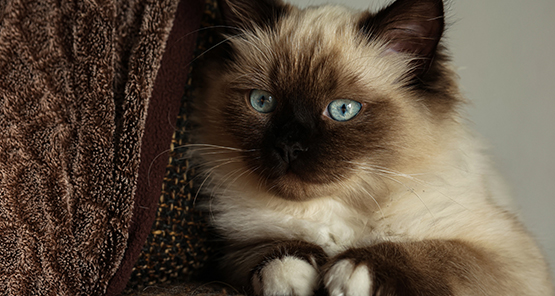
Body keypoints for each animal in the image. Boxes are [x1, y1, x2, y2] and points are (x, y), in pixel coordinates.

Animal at [189, 0, 552, 294]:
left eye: (343, 110)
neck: (339, 207)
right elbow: (267, 249)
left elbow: (437, 253)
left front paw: (350, 270)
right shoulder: (234, 249)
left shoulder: (509, 257)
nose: (289, 147)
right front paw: (294, 273)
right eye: (263, 102)